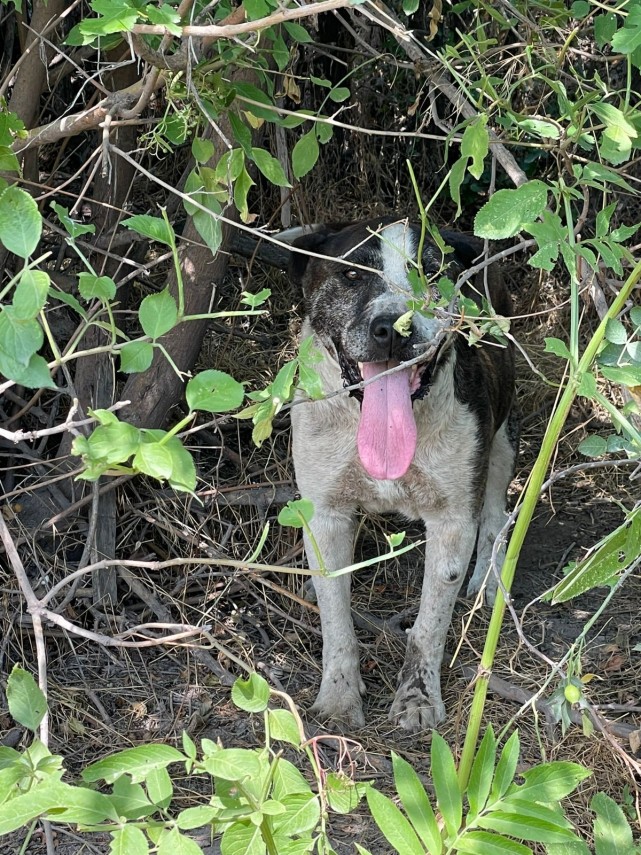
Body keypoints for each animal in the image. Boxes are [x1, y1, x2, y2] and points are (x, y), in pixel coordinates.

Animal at [288, 217, 516, 732]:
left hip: (497, 436)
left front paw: (417, 698)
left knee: (497, 502)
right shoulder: (325, 515)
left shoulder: (452, 522)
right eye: (352, 274)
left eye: (431, 272)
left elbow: (429, 626)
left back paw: (488, 579)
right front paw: (338, 698)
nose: (393, 328)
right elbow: (336, 620)